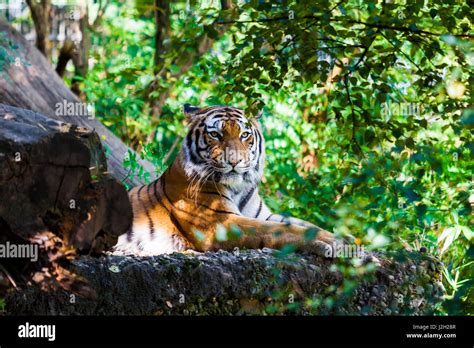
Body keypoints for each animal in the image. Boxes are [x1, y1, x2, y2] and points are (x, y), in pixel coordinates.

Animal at [114, 104, 340, 256]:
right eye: (215, 134)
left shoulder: (262, 214)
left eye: (245, 135)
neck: (238, 187)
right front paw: (331, 243)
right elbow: (279, 229)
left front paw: (340, 238)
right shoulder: (221, 221)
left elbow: (303, 224)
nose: (234, 161)